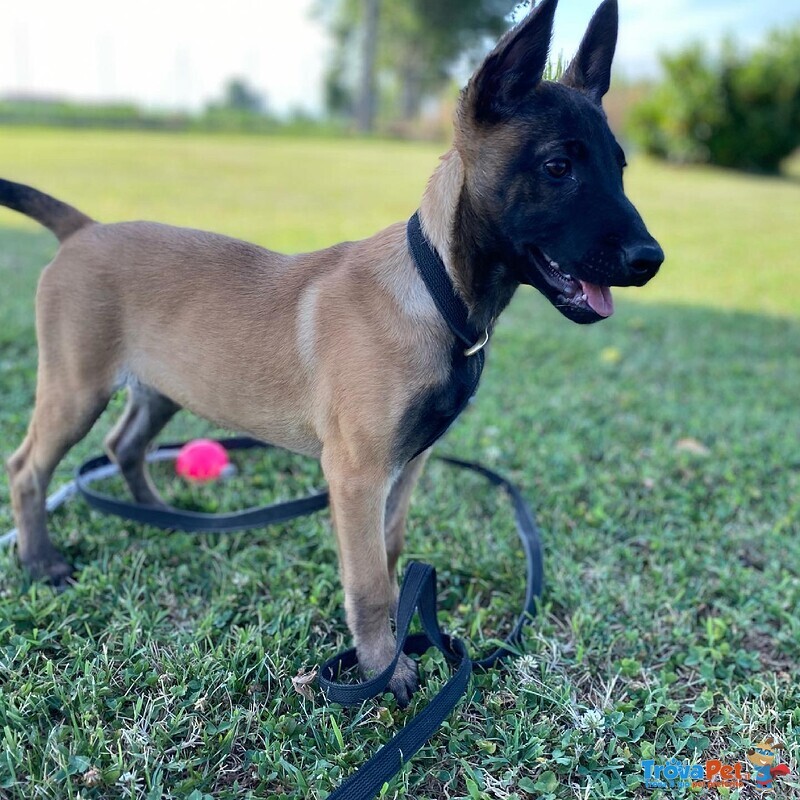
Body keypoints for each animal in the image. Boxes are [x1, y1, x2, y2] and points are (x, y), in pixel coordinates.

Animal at [1, 0, 664, 704]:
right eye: (558, 167)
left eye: (620, 167)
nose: (649, 260)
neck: (435, 290)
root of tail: (83, 230)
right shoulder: (356, 474)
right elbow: (368, 581)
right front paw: (383, 667)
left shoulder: (407, 465)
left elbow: (390, 554)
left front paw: (400, 633)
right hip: (77, 388)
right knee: (27, 467)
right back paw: (40, 559)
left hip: (162, 389)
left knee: (123, 445)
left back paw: (157, 514)